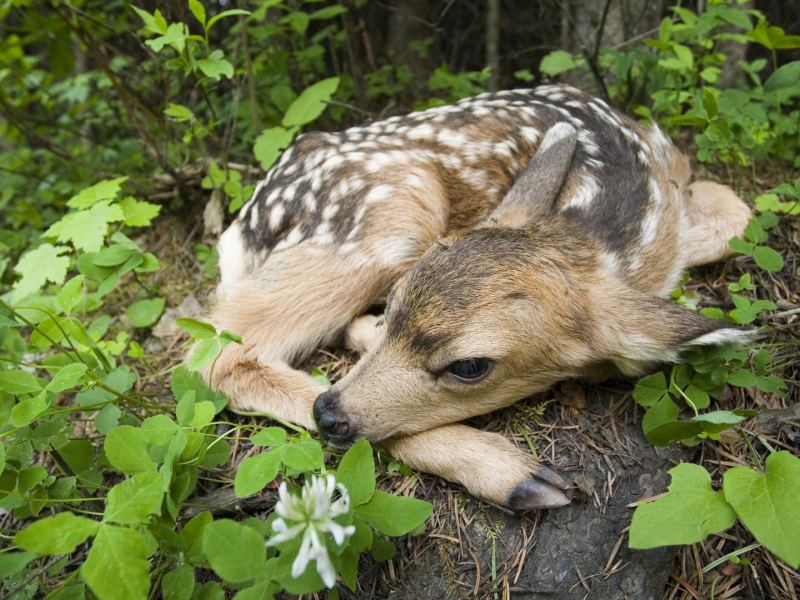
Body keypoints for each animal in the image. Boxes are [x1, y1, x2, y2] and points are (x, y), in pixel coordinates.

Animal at [203, 84, 752, 512]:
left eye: (470, 367)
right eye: (395, 302)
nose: (329, 415)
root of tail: (240, 231)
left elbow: (737, 214)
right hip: (398, 206)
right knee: (218, 357)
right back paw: (516, 475)